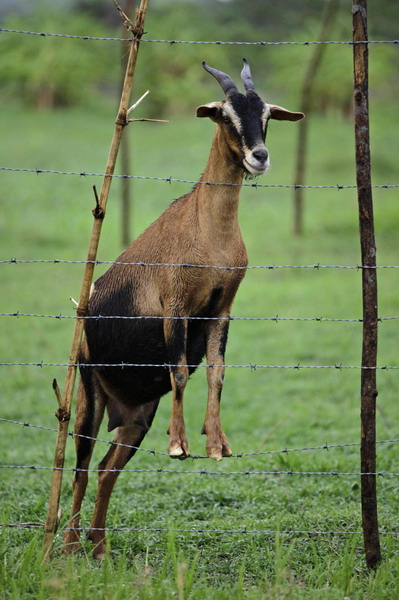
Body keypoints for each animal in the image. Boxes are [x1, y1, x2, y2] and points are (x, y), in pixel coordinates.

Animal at [64, 59, 304, 556]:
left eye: (266, 113)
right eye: (225, 115)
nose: (259, 156)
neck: (208, 232)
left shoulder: (221, 310)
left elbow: (216, 372)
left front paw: (217, 443)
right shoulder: (175, 305)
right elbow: (177, 371)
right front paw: (179, 445)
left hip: (135, 416)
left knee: (106, 469)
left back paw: (99, 547)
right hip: (89, 394)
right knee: (80, 465)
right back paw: (67, 546)